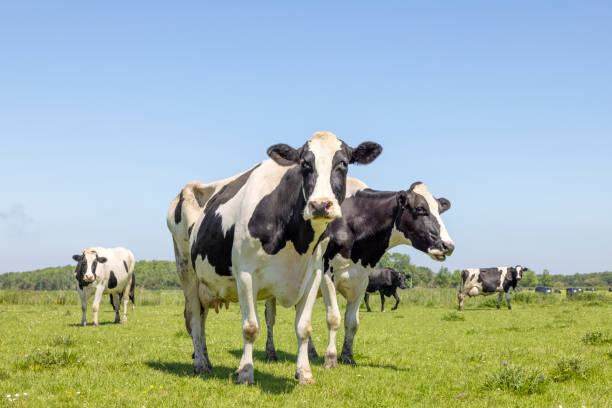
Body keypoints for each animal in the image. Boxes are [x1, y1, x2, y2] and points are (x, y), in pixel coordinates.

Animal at [165, 131, 380, 386]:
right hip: (187, 271)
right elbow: (250, 327)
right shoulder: (245, 275)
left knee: (200, 315)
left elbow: (304, 328)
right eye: (305, 164)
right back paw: (200, 364)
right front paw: (246, 373)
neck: (296, 241)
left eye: (343, 164)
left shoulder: (314, 275)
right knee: (194, 319)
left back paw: (206, 360)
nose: (320, 205)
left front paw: (304, 374)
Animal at [262, 178, 454, 366]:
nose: (448, 245)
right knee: (270, 317)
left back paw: (311, 352)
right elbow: (334, 318)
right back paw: (271, 353)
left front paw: (348, 357)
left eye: (440, 210)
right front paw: (331, 359)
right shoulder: (326, 274)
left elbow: (352, 322)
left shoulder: (362, 279)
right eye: (420, 209)